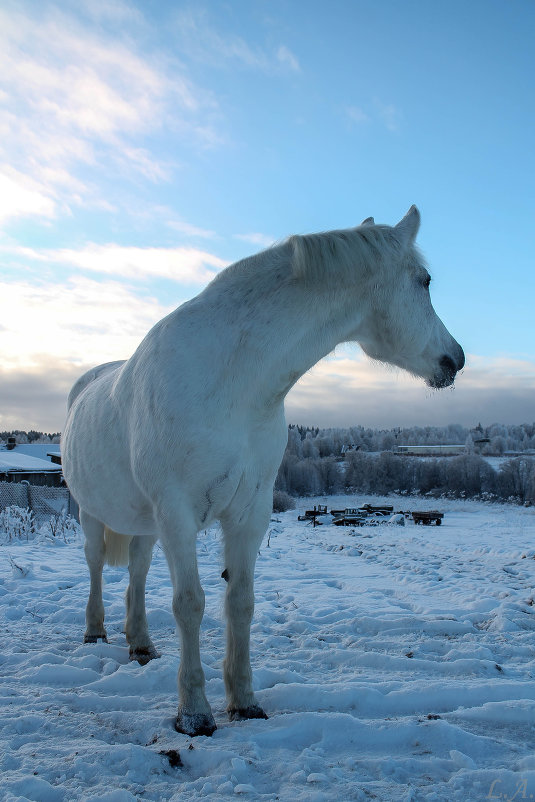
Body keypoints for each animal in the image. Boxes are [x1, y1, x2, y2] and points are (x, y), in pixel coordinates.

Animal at [62, 205, 464, 732]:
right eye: (425, 280)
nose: (456, 359)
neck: (231, 382)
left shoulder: (250, 513)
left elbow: (240, 602)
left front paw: (244, 701)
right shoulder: (177, 514)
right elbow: (190, 603)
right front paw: (194, 712)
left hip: (145, 525)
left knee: (137, 573)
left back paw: (141, 644)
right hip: (93, 514)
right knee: (94, 565)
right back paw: (95, 632)